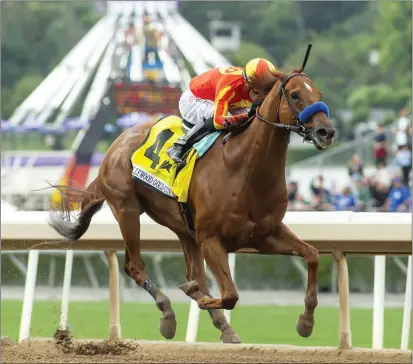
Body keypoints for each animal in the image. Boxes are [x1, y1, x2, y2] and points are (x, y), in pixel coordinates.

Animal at [50, 45, 336, 344]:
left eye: (319, 95)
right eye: (295, 94)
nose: (326, 132)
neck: (244, 169)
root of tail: (115, 146)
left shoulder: (264, 235)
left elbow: (312, 254)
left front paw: (306, 321)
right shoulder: (211, 239)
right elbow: (230, 295)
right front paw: (194, 296)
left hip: (184, 228)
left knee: (192, 271)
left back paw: (220, 323)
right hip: (127, 209)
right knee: (135, 266)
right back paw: (168, 314)